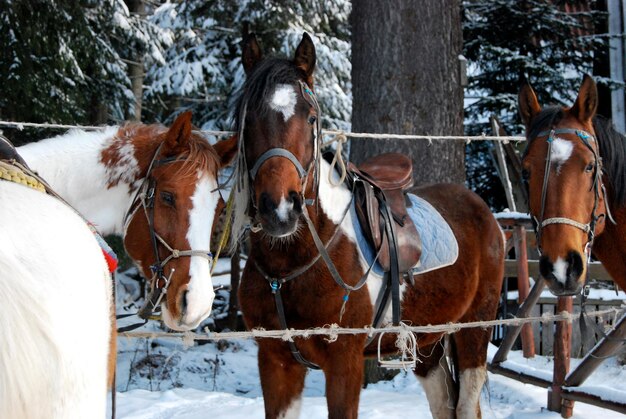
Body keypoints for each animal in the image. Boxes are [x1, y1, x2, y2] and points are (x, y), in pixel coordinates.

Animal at [232, 32, 504, 419]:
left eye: (311, 118)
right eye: (247, 117)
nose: (280, 209)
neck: (293, 264)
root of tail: (482, 209)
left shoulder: (344, 362)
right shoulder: (275, 360)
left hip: (473, 331)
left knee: (466, 404)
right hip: (428, 342)